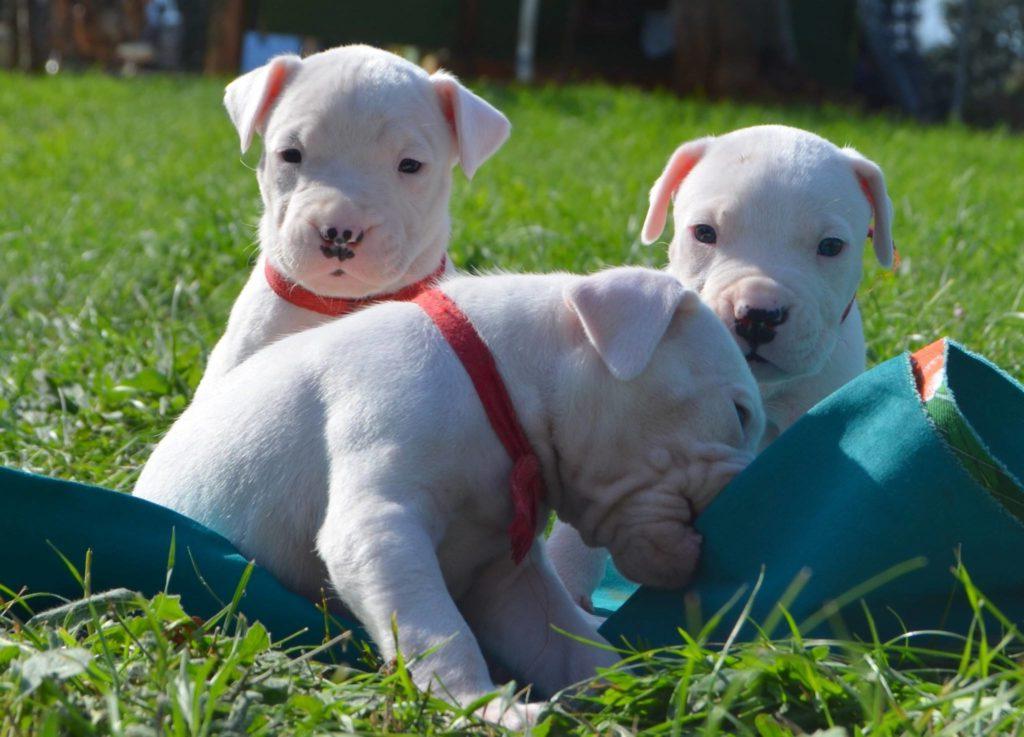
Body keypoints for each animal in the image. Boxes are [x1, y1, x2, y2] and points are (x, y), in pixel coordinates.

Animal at [134, 266, 761, 724]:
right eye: (740, 412)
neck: (499, 383)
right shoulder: (381, 526)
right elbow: (440, 632)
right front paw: (482, 708)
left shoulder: (506, 578)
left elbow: (567, 641)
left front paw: (635, 693)